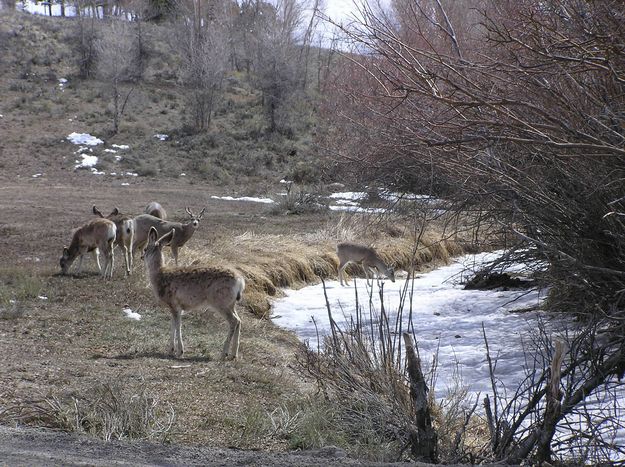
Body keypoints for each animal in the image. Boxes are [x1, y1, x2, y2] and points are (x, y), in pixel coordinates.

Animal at [143, 229, 245, 360]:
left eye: (145, 249)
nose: (141, 256)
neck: (159, 273)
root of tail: (240, 281)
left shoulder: (174, 305)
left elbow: (178, 326)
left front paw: (180, 351)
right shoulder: (176, 307)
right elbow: (173, 325)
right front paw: (170, 350)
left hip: (220, 302)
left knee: (234, 321)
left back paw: (224, 353)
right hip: (231, 304)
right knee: (239, 321)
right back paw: (233, 355)